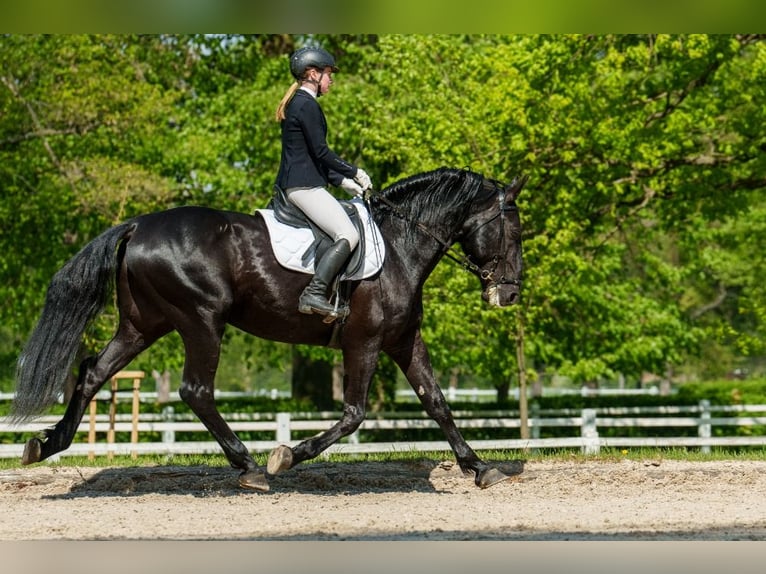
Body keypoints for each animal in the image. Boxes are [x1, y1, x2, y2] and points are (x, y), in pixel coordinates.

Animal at [12, 165, 528, 490]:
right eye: (515, 231)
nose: (509, 294)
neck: (401, 246)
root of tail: (139, 225)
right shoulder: (364, 342)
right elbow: (353, 415)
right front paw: (287, 456)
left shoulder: (404, 341)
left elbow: (437, 402)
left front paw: (480, 467)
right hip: (201, 320)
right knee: (196, 390)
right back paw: (251, 467)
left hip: (144, 324)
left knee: (94, 372)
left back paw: (48, 444)